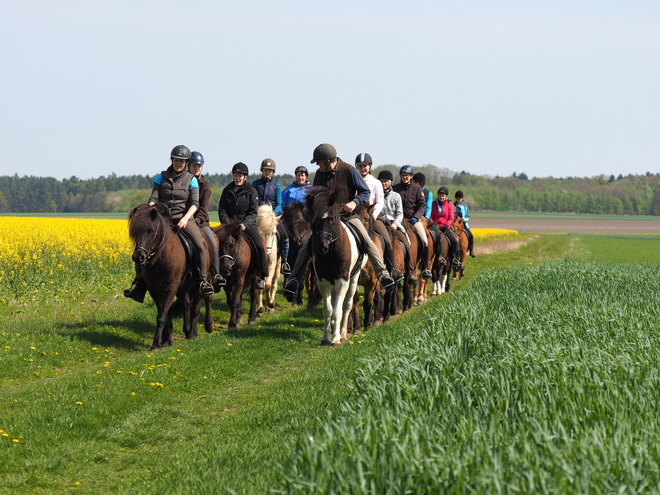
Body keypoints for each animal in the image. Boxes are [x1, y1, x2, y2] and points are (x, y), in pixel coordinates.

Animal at [127, 203, 213, 350]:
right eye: (134, 232)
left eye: (151, 230)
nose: (139, 257)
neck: (162, 257)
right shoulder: (155, 289)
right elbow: (163, 312)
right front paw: (165, 341)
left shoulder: (170, 287)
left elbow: (162, 315)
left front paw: (156, 344)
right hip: (182, 287)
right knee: (186, 304)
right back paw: (186, 329)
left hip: (199, 283)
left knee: (197, 306)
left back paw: (194, 332)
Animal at [304, 188, 366, 346]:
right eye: (314, 220)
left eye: (331, 218)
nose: (322, 246)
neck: (331, 253)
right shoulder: (323, 281)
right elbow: (328, 309)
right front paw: (326, 337)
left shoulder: (342, 280)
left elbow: (338, 309)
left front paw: (336, 338)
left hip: (354, 278)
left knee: (347, 305)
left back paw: (343, 333)